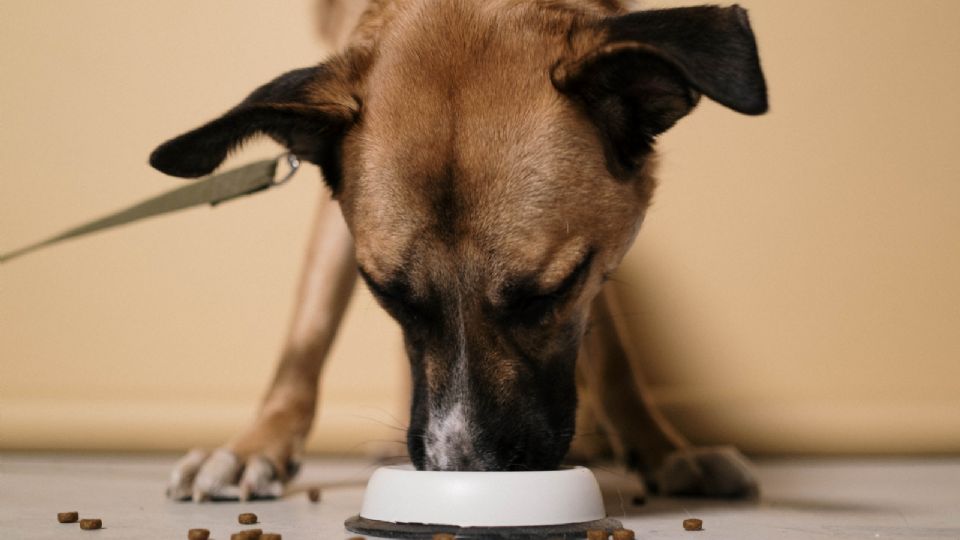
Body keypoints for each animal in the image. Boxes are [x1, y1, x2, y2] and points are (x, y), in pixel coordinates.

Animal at [156, 0, 772, 502]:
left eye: (549, 294)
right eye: (388, 295)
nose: (464, 470)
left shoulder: (597, 256)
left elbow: (615, 355)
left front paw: (663, 449)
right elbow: (307, 334)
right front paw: (256, 445)